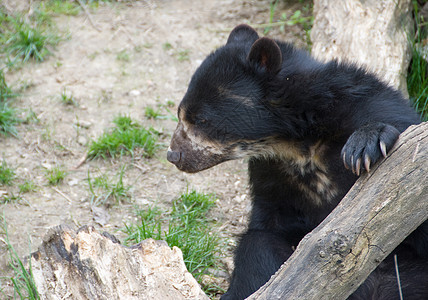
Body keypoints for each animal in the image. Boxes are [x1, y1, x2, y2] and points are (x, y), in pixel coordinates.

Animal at [167, 24, 428, 298]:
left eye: (201, 119)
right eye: (180, 114)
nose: (173, 154)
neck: (295, 143)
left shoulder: (370, 105)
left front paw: (366, 143)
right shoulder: (271, 175)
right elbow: (264, 232)